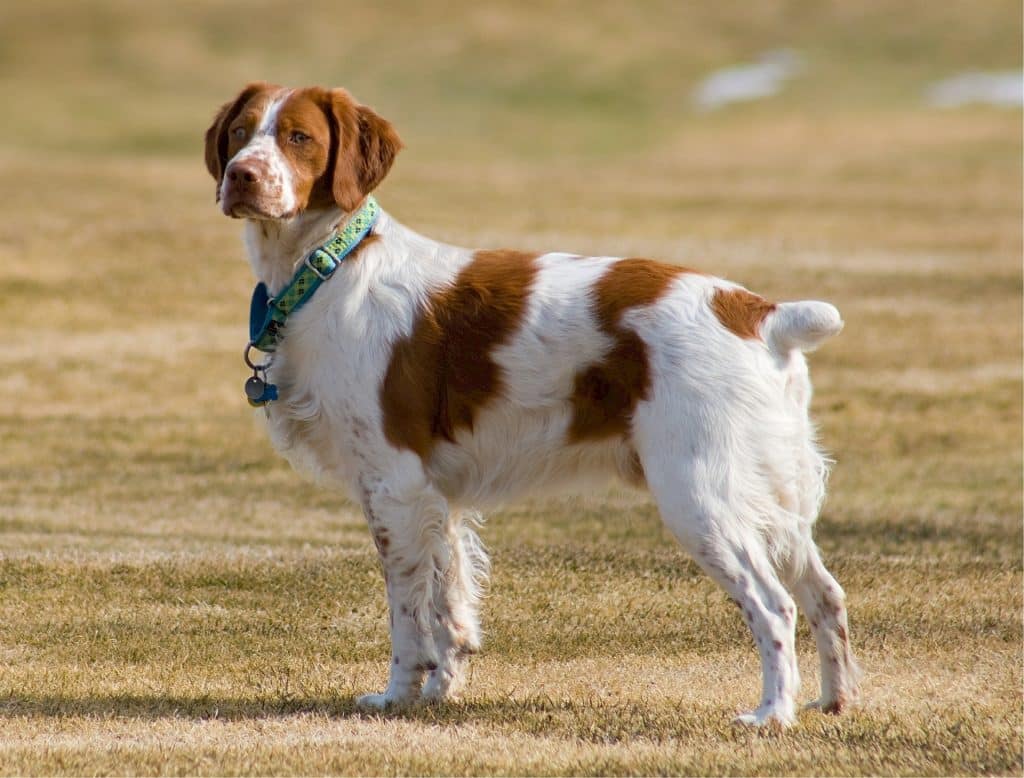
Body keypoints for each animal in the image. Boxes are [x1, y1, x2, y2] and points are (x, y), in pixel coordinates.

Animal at [203, 81, 860, 724]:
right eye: (240, 131)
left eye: (299, 138)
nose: (241, 175)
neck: (330, 269)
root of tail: (760, 313)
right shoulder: (437, 498)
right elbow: (450, 605)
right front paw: (439, 693)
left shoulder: (394, 485)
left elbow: (408, 614)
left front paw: (396, 697)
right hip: (773, 496)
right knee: (826, 593)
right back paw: (833, 701)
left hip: (700, 494)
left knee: (774, 605)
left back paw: (772, 713)